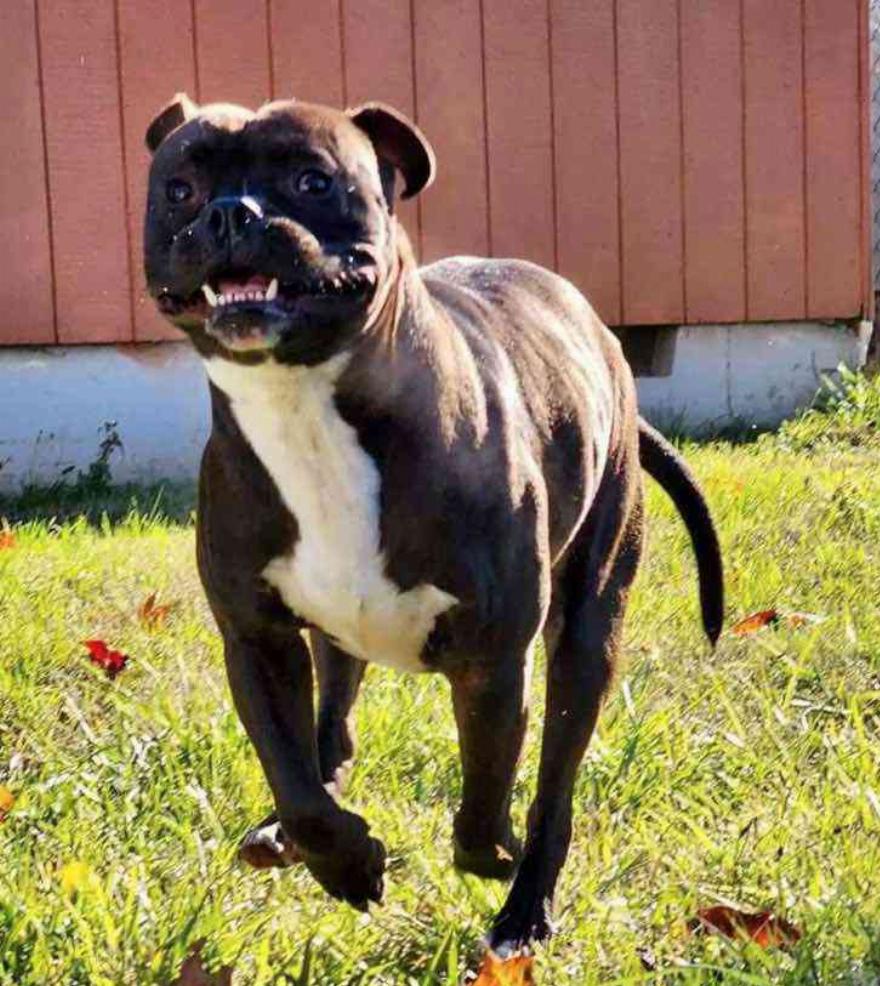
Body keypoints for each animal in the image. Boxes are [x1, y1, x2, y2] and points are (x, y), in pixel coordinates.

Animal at [143, 93, 724, 954]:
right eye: (179, 189)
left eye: (314, 180)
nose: (227, 212)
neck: (305, 406)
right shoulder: (257, 641)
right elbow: (299, 785)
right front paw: (344, 860)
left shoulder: (494, 662)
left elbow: (484, 804)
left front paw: (495, 854)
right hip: (338, 641)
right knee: (331, 737)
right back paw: (288, 834)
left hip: (589, 629)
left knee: (556, 778)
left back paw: (525, 906)